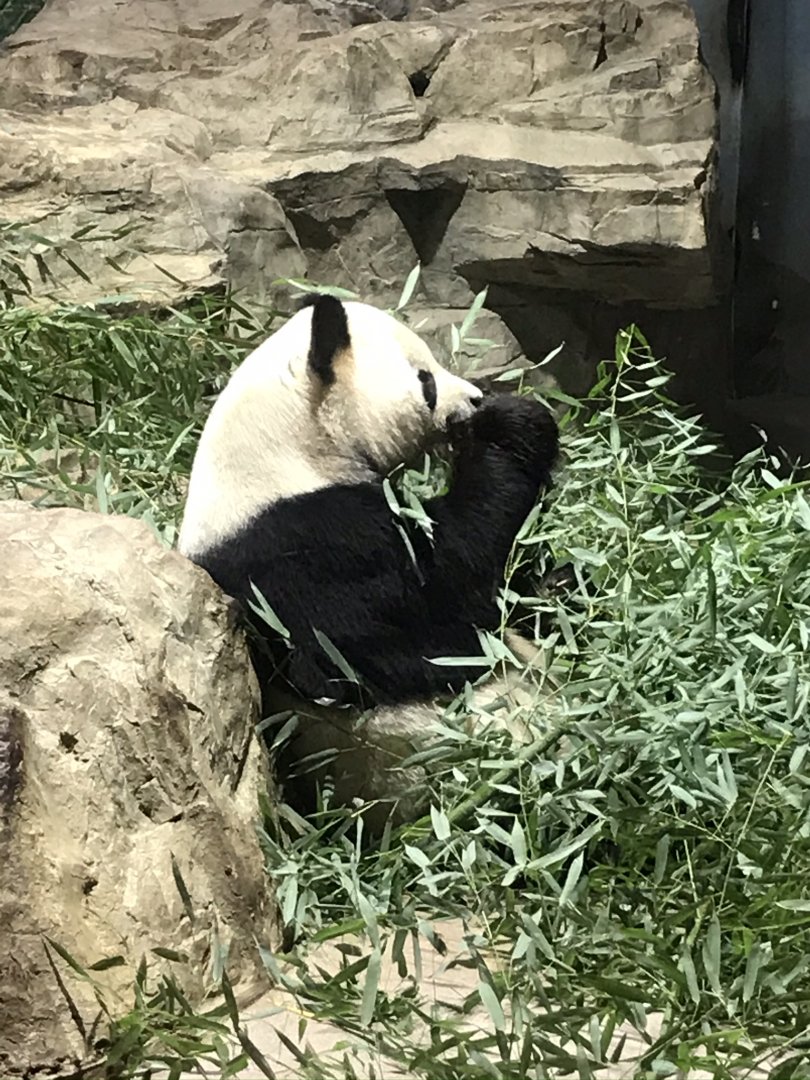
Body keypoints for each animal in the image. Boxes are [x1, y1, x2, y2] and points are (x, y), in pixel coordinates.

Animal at [178, 294, 559, 830]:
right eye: (425, 379)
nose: (473, 400)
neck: (288, 449)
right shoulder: (303, 552)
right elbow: (430, 610)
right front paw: (513, 423)